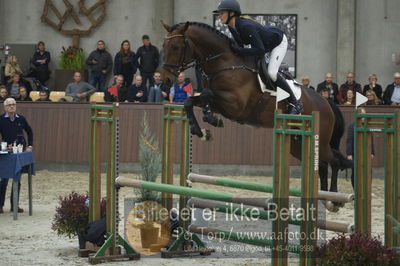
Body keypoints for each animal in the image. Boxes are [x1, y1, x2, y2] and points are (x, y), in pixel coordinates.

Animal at [161, 21, 352, 210]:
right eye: (163, 46)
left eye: (176, 47)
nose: (166, 81)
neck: (224, 62)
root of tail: (326, 102)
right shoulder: (219, 102)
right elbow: (190, 101)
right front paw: (201, 129)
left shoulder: (235, 105)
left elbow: (206, 94)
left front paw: (210, 120)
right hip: (297, 143)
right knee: (322, 164)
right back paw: (326, 198)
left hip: (319, 139)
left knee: (335, 160)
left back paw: (335, 199)